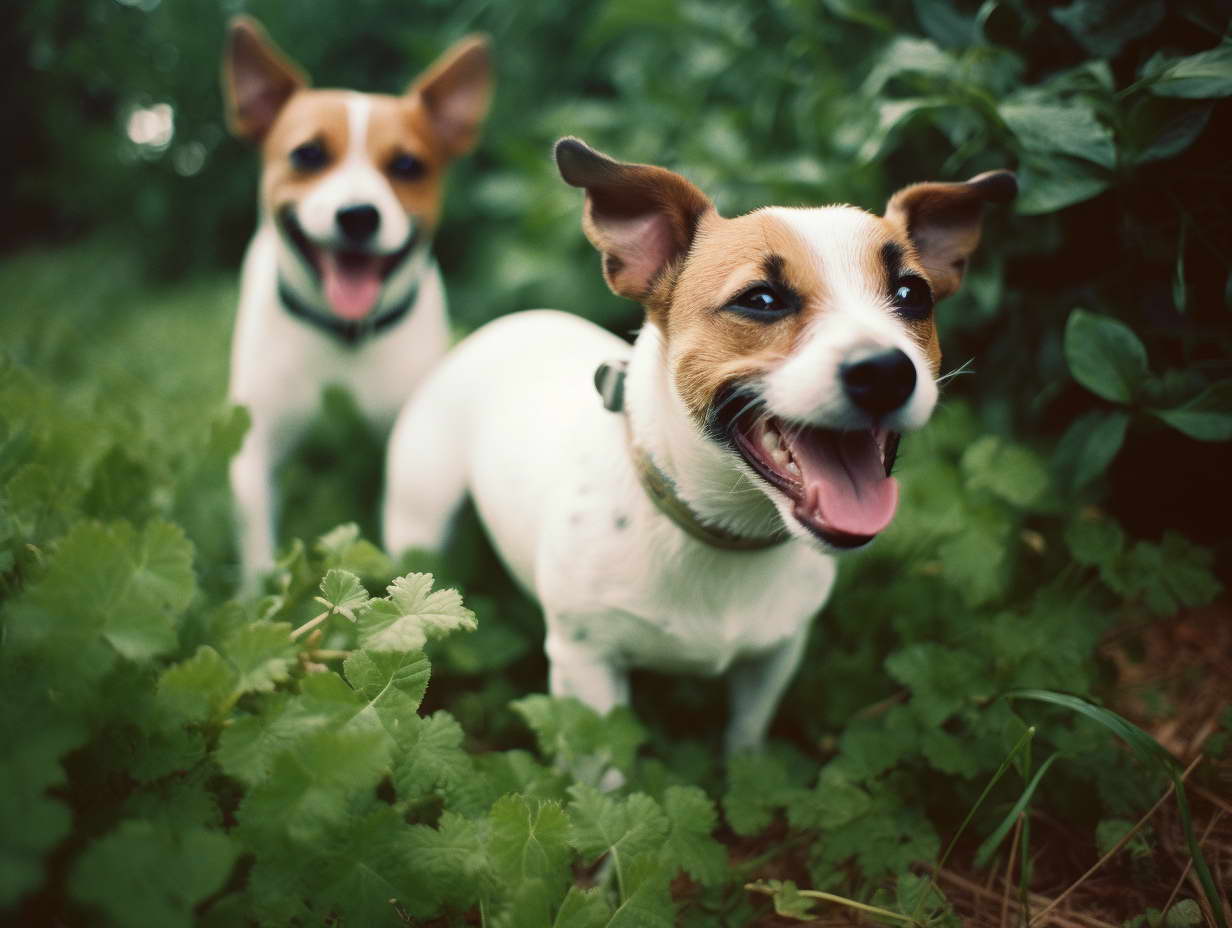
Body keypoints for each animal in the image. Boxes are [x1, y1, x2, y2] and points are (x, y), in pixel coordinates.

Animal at [224, 18, 492, 589]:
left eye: (408, 165)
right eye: (307, 155)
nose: (358, 215)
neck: (342, 332)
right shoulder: (254, 449)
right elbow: (257, 547)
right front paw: (254, 595)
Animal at [381, 141, 1010, 754]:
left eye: (913, 294)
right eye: (761, 299)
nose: (884, 371)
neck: (720, 531)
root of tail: (511, 322)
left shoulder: (773, 658)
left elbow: (745, 743)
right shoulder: (586, 669)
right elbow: (600, 763)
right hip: (419, 519)